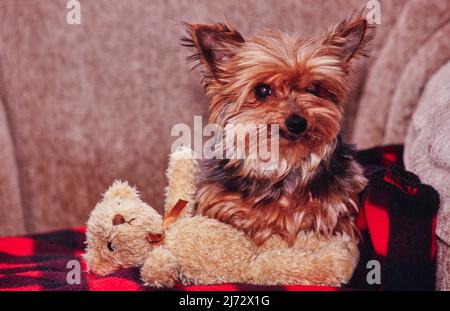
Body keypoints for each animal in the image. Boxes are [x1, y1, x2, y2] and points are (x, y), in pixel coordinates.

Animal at [182, 16, 370, 256]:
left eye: (314, 88)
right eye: (262, 90)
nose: (297, 122)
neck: (284, 164)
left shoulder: (335, 212)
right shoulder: (222, 205)